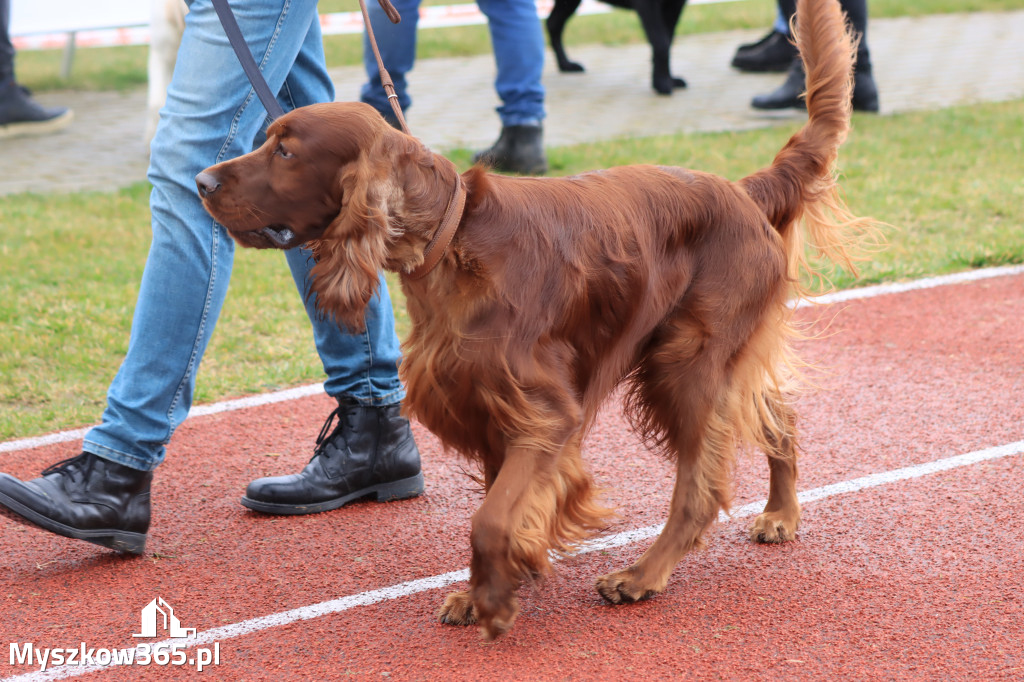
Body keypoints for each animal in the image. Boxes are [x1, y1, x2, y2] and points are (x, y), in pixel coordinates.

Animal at [544, 0, 688, 94]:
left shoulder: (675, 5)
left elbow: (668, 41)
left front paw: (666, 79)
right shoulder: (648, 5)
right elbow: (661, 42)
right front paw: (662, 83)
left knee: (553, 24)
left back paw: (565, 65)